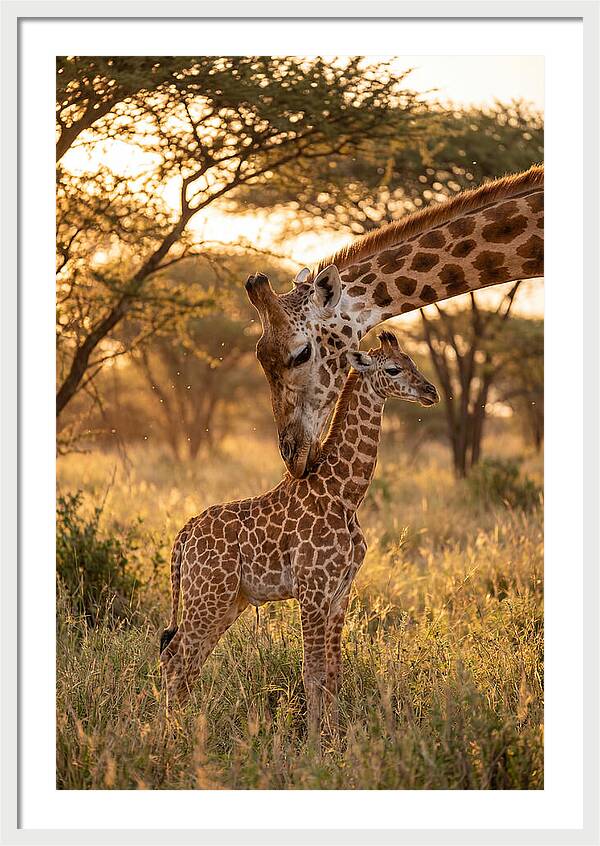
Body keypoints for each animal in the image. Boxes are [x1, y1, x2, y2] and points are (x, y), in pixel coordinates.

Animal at [160, 331, 439, 740]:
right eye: (393, 368)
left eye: (413, 362)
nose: (430, 391)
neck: (344, 493)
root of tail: (185, 534)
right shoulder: (312, 589)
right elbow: (312, 672)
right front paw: (313, 743)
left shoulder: (340, 593)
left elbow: (334, 673)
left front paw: (336, 739)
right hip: (207, 595)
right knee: (175, 657)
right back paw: (170, 736)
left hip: (228, 600)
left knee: (189, 660)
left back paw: (187, 729)